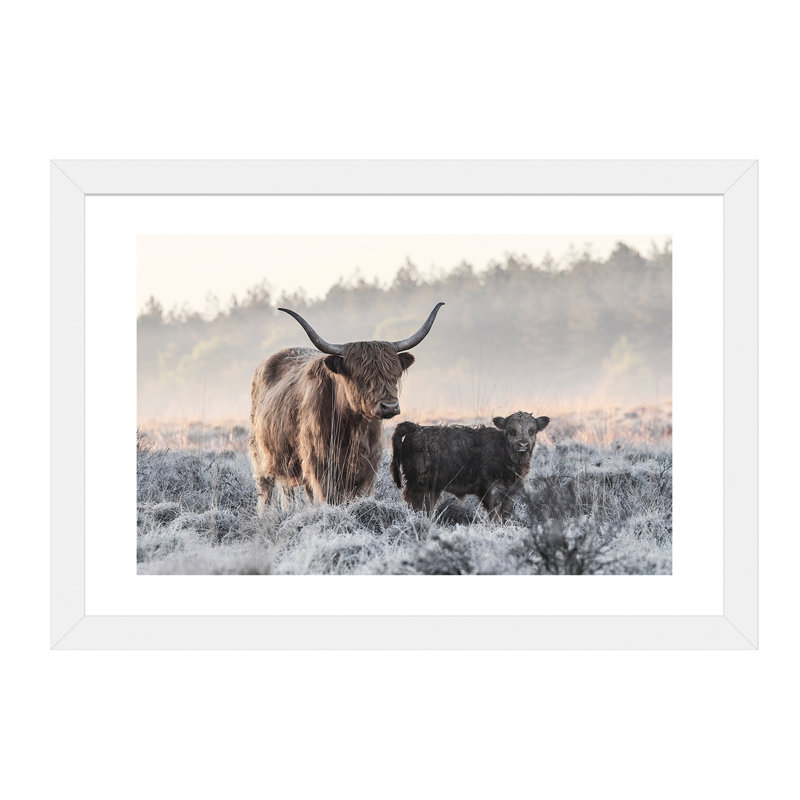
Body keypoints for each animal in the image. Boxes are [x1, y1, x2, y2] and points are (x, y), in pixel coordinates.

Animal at [249, 303, 445, 511]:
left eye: (394, 374)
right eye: (361, 377)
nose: (390, 406)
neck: (352, 427)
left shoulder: (367, 469)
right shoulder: (320, 467)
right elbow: (329, 498)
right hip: (261, 455)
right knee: (266, 490)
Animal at [390, 411, 550, 521]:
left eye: (532, 431)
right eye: (512, 431)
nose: (523, 444)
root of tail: (416, 428)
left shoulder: (511, 491)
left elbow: (506, 514)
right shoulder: (491, 490)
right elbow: (494, 513)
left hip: (432, 487)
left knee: (428, 506)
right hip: (418, 483)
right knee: (415, 503)